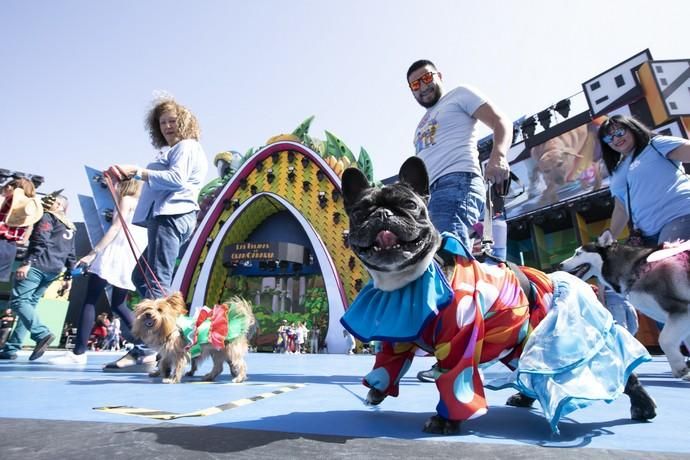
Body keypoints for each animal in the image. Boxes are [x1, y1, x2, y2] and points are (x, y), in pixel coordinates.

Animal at [560, 241, 688, 380]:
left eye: (578, 253)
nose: (559, 265)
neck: (637, 270)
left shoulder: (682, 310)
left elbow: (664, 340)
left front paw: (679, 367)